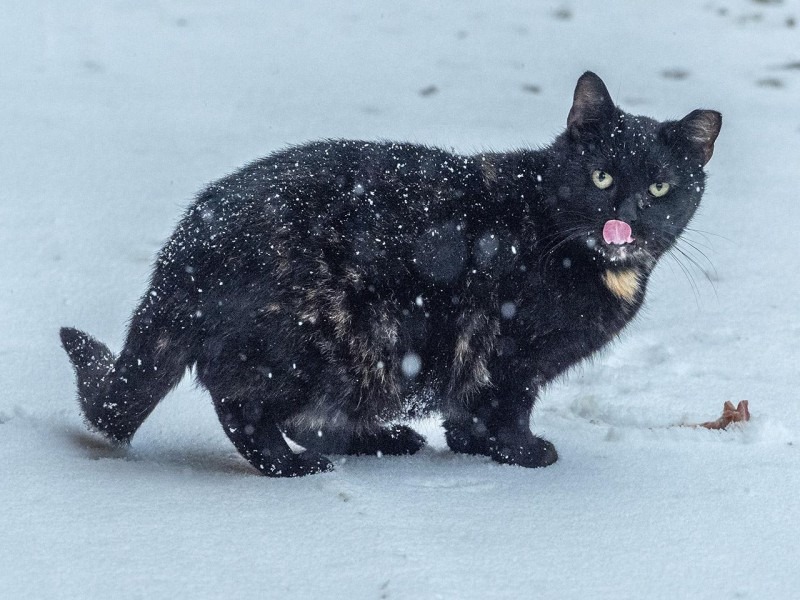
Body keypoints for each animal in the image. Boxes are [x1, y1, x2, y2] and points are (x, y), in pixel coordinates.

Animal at [61, 74, 720, 478]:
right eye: (601, 176)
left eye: (661, 187)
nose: (623, 214)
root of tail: (185, 251)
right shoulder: (510, 352)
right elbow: (507, 406)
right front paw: (522, 452)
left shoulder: (477, 358)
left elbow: (468, 410)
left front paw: (474, 448)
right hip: (313, 340)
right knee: (244, 409)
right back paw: (293, 467)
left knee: (302, 416)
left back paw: (384, 439)